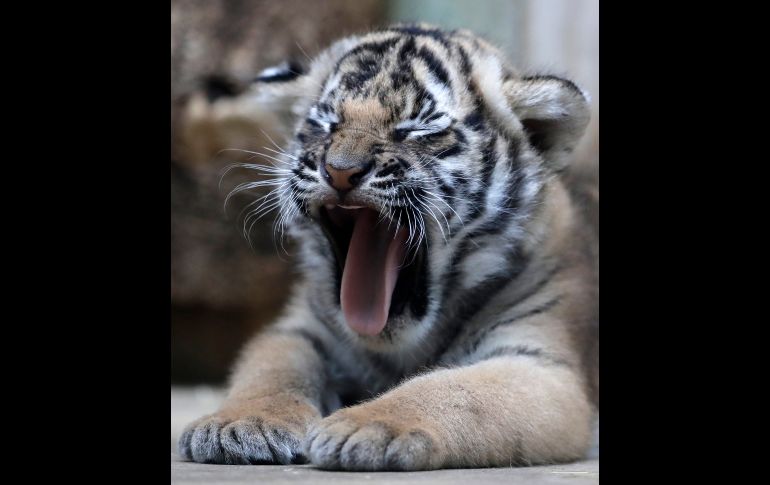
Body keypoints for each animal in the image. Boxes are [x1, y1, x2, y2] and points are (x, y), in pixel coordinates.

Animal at [178, 23, 599, 471]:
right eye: (326, 123)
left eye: (416, 129)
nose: (340, 171)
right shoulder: (301, 330)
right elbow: (272, 369)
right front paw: (240, 424)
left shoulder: (540, 362)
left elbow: (455, 392)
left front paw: (365, 427)